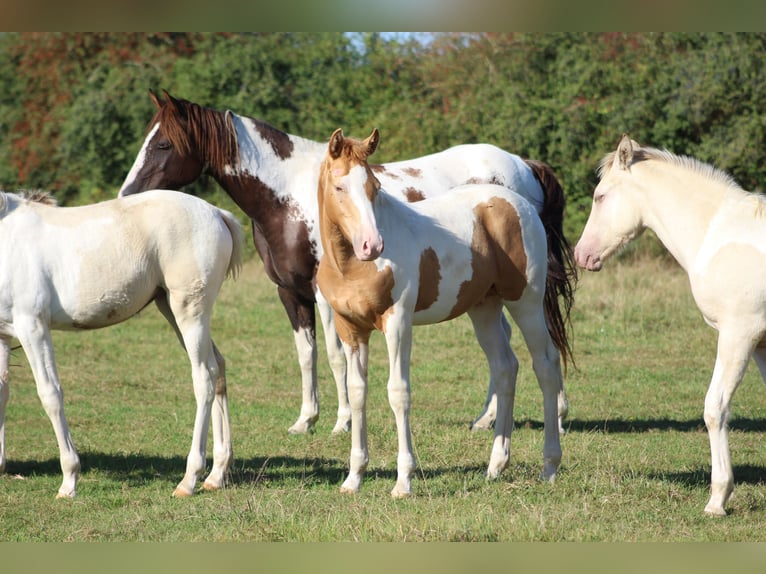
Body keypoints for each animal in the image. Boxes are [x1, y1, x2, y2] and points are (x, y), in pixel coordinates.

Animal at [120, 90, 576, 434]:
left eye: (162, 144)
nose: (127, 194)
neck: (288, 196)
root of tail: (523, 165)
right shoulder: (290, 293)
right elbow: (307, 355)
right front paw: (306, 420)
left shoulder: (324, 296)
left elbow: (336, 355)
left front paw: (341, 422)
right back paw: (488, 418)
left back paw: (553, 412)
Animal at [316, 128, 572, 498]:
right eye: (339, 187)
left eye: (375, 187)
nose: (372, 246)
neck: (350, 266)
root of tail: (518, 203)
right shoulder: (350, 328)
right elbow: (358, 391)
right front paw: (353, 478)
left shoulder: (398, 322)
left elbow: (398, 392)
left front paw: (403, 482)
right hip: (484, 309)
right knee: (505, 367)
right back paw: (496, 465)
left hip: (526, 302)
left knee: (546, 366)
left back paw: (549, 466)